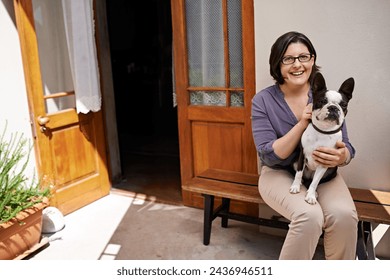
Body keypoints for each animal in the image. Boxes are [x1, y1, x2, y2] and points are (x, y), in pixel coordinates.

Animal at [290, 72, 354, 203]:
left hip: (332, 170)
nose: (333, 107)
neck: (323, 131)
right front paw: (295, 186)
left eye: (343, 105)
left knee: (315, 181)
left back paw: (314, 192)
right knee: (303, 177)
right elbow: (298, 173)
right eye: (322, 101)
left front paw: (311, 195)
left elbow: (315, 182)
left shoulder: (325, 162)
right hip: (294, 162)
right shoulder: (301, 156)